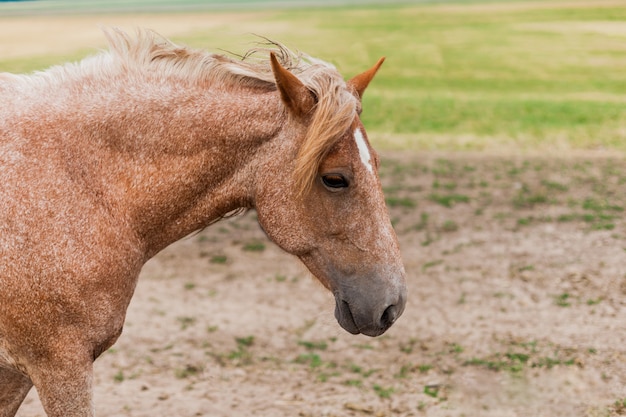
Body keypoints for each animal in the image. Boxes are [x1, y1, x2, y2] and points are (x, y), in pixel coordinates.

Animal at [0, 30, 408, 416]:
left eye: (376, 163)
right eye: (335, 179)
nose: (393, 305)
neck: (77, 180)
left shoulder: (18, 374)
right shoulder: (60, 367)